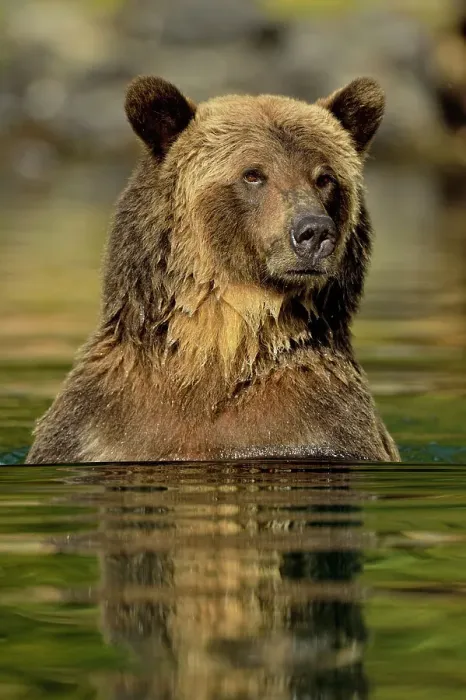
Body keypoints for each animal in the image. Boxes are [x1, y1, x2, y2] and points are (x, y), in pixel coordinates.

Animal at [26, 75, 400, 464]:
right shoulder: (100, 424)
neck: (215, 349)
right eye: (253, 174)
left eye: (325, 177)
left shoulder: (321, 424)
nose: (314, 232)